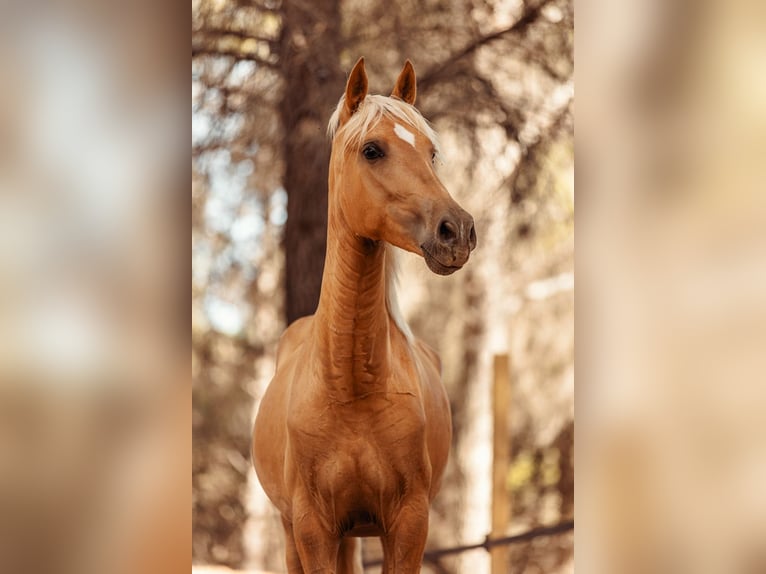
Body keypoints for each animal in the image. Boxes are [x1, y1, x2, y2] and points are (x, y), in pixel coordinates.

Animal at [255, 59, 476, 574]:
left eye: (432, 153)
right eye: (372, 150)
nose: (457, 231)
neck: (351, 386)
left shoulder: (409, 524)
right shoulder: (313, 528)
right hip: (294, 531)